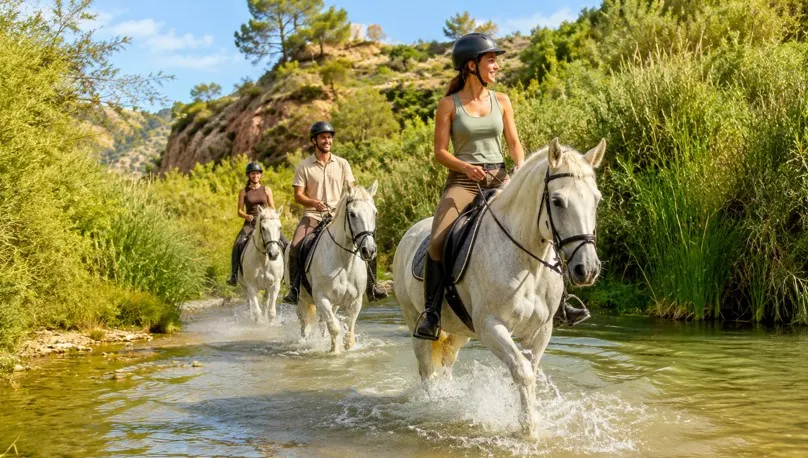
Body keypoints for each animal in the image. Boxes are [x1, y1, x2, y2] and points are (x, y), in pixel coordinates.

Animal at [295, 181, 379, 354]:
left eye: (375, 213)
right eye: (352, 214)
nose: (369, 250)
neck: (344, 262)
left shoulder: (355, 301)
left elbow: (348, 333)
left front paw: (346, 348)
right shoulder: (322, 298)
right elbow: (334, 328)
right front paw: (335, 352)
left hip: (333, 304)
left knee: (322, 324)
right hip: (302, 300)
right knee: (305, 325)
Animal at [393, 138, 606, 436]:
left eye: (596, 200)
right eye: (557, 201)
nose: (587, 269)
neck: (527, 262)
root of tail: (409, 234)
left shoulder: (540, 331)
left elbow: (525, 371)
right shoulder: (491, 327)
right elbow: (523, 373)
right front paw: (529, 431)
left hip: (459, 330)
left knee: (446, 360)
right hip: (417, 320)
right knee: (427, 369)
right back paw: (432, 405)